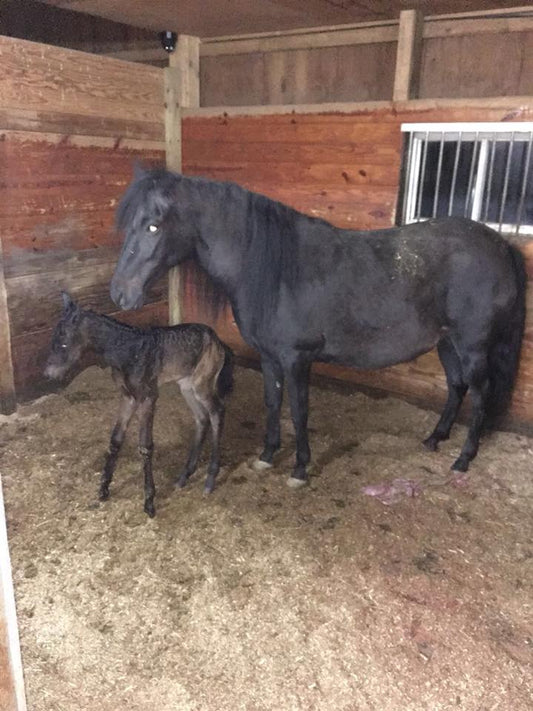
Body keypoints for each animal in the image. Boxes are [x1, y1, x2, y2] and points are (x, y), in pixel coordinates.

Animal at [45, 292, 234, 516]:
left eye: (64, 341)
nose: (48, 374)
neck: (127, 351)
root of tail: (218, 341)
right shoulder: (128, 397)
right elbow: (115, 440)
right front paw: (103, 489)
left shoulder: (148, 397)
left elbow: (145, 446)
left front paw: (149, 502)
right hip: (186, 386)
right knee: (201, 418)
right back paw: (184, 476)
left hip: (202, 384)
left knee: (217, 412)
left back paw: (210, 478)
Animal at [110, 168, 526, 487]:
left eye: (153, 226)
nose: (119, 292)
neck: (274, 269)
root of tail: (499, 245)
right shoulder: (270, 358)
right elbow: (273, 403)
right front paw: (266, 455)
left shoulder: (297, 359)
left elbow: (299, 411)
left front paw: (299, 469)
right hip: (446, 343)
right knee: (456, 387)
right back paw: (434, 438)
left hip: (472, 345)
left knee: (480, 392)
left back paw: (463, 458)